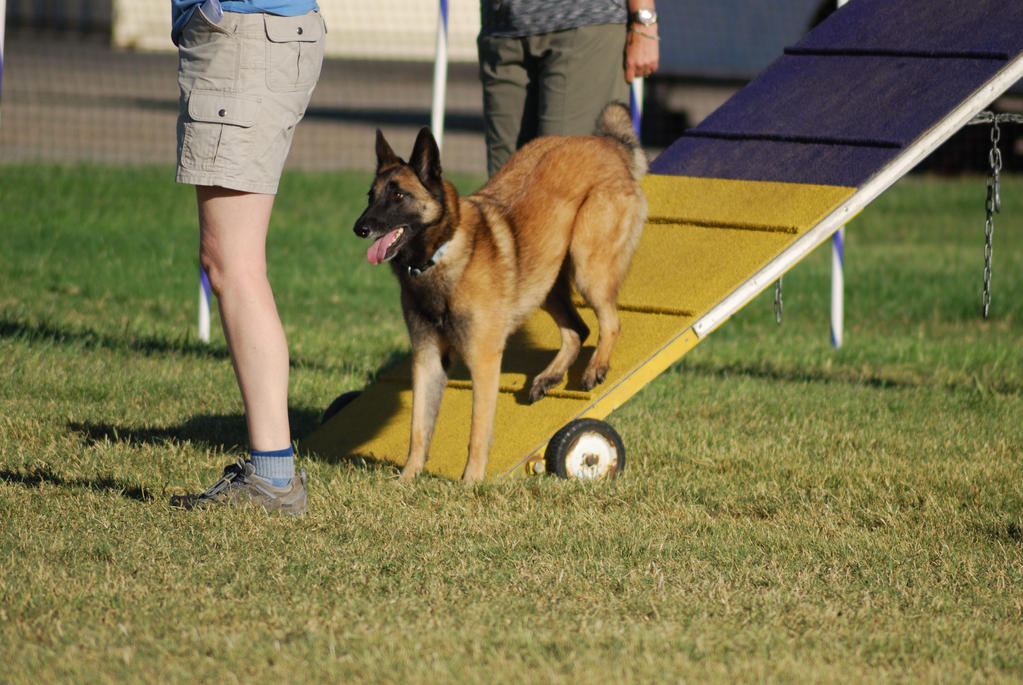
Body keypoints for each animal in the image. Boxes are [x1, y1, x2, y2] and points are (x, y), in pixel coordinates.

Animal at [356, 102, 646, 482]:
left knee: (610, 322)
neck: (441, 256)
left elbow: (477, 430)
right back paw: (550, 376)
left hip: (587, 266)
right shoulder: (427, 358)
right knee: (578, 329)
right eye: (370, 197)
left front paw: (470, 483)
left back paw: (595, 368)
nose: (359, 228)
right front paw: (407, 479)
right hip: (546, 280)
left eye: (398, 196)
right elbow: (418, 428)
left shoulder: (483, 359)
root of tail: (606, 144)